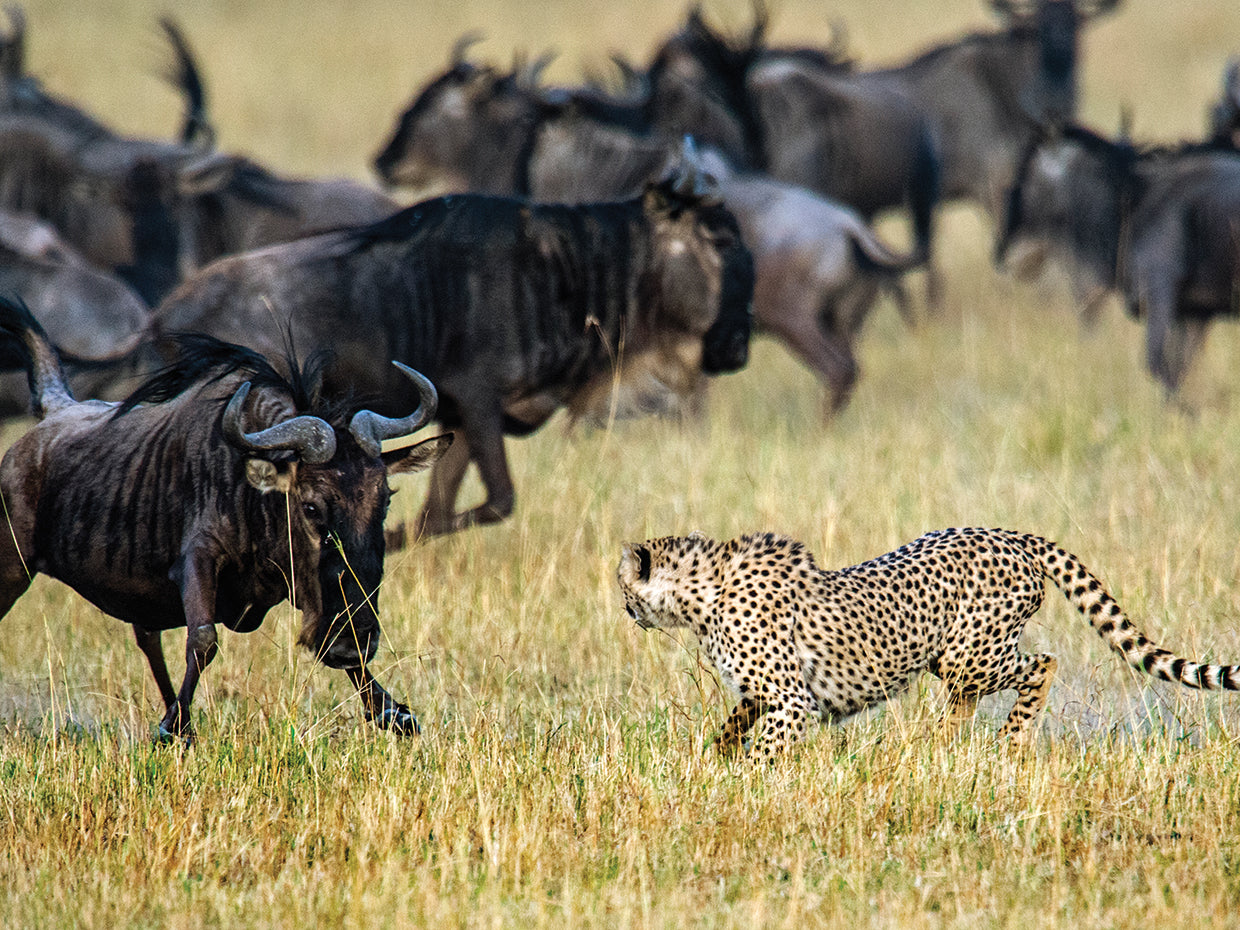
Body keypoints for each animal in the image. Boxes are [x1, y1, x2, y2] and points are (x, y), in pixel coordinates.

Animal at [617, 527, 1240, 759]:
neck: (701, 592)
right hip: (951, 657)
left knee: (1043, 662)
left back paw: (1008, 741)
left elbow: (765, 751)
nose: (625, 611)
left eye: (623, 585)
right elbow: (734, 721)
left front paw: (743, 780)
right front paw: (715, 756)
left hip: (973, 654)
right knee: (965, 700)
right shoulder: (767, 692)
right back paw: (935, 748)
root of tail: (1012, 534)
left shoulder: (792, 700)